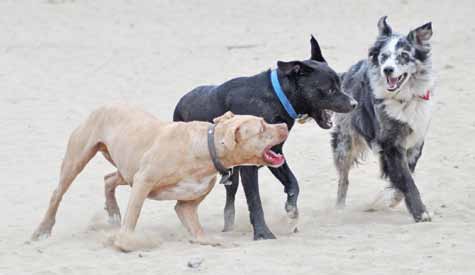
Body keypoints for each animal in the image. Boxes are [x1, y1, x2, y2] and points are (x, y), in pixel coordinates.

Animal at [32, 104, 290, 251]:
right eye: (262, 127)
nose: (284, 125)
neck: (206, 148)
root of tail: (103, 107)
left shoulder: (185, 205)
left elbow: (197, 229)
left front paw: (212, 241)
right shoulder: (143, 182)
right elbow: (132, 220)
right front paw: (123, 242)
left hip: (127, 169)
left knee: (108, 179)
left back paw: (113, 211)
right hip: (78, 159)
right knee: (57, 193)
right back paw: (42, 230)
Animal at [175, 36, 356, 239]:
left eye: (339, 84)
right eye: (329, 89)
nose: (354, 103)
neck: (276, 98)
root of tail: (180, 103)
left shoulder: (274, 154)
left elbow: (293, 183)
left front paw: (291, 209)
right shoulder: (249, 167)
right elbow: (255, 201)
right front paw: (263, 232)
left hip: (230, 173)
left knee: (230, 195)